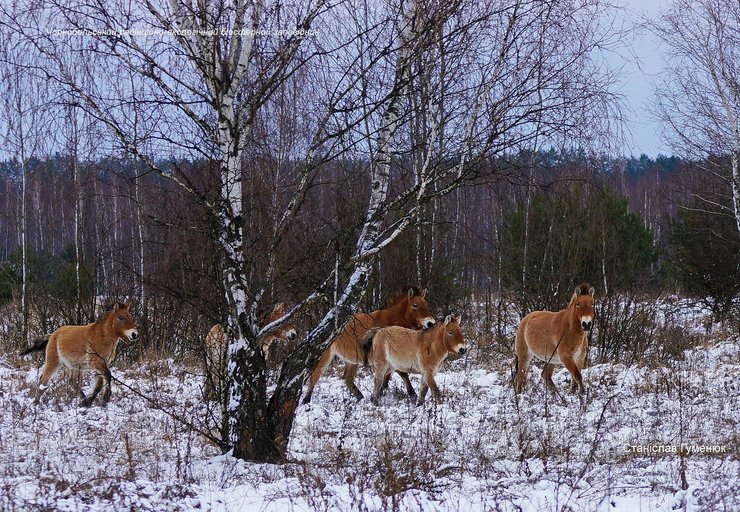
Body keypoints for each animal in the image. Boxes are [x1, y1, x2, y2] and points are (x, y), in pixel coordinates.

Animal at [302, 286, 435, 404]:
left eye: (426, 304)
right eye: (415, 305)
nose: (431, 323)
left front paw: (381, 392)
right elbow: (401, 373)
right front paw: (412, 393)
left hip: (351, 361)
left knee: (347, 379)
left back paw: (360, 397)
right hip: (325, 357)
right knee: (315, 376)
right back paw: (306, 401)